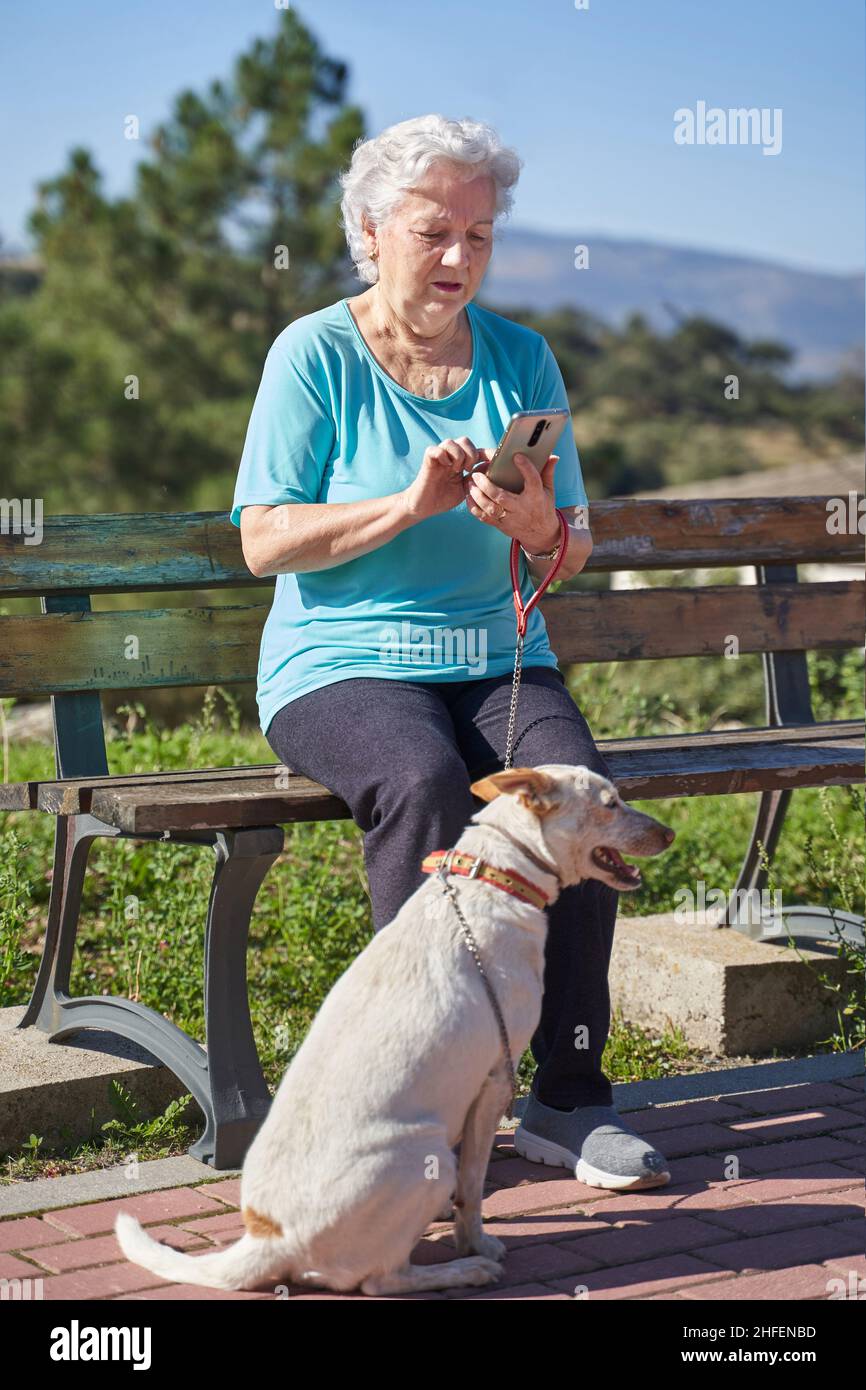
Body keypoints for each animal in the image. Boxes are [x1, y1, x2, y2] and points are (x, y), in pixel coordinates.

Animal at [115, 767, 675, 1295]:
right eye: (610, 803)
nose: (669, 832)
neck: (494, 876)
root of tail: (269, 1236)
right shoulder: (494, 1081)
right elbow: (472, 1190)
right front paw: (476, 1243)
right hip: (429, 1155)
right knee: (380, 1280)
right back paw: (462, 1270)